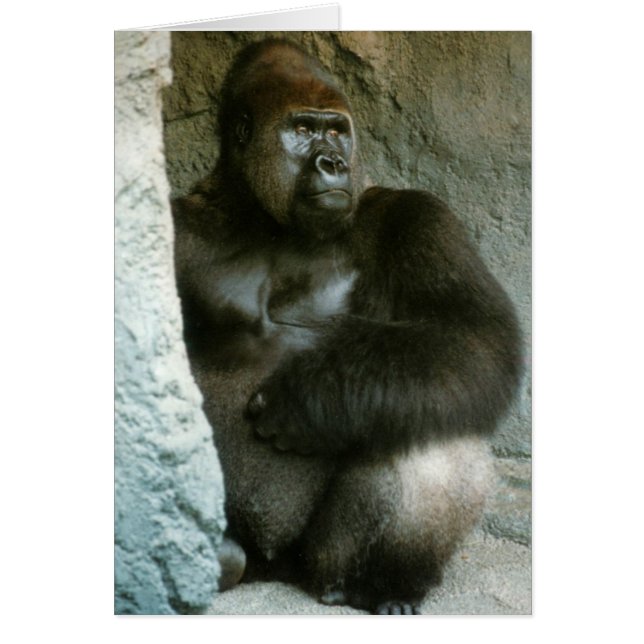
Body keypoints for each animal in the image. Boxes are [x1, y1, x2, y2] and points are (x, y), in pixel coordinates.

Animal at [171, 38, 523, 615]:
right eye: (302, 129)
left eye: (336, 131)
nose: (333, 162)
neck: (260, 214)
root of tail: (272, 567)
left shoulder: (419, 216)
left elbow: (474, 338)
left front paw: (308, 397)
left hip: (316, 559)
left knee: (432, 413)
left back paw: (379, 585)